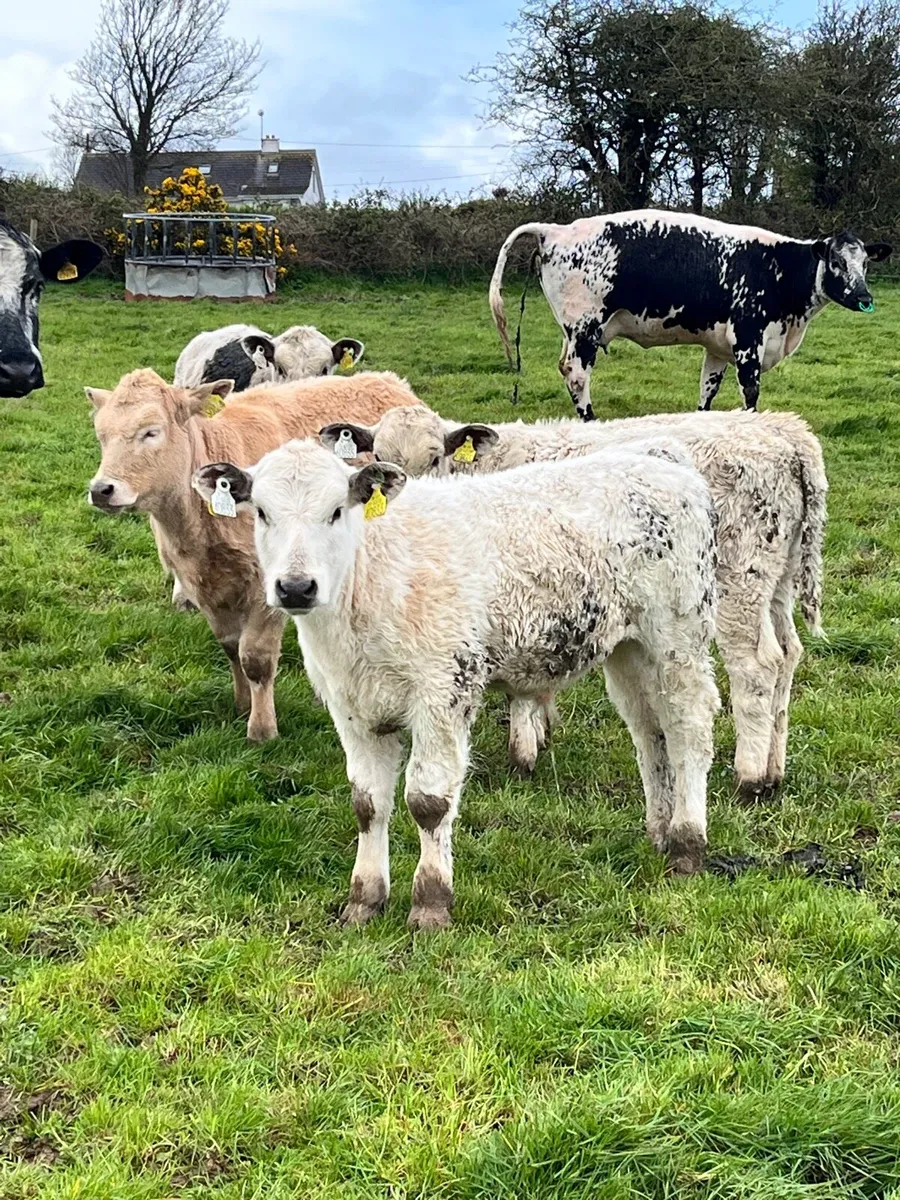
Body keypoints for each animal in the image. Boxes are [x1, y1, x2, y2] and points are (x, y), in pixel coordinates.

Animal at [86, 369, 420, 740]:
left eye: (151, 431)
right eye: (101, 435)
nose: (101, 490)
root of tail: (385, 380)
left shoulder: (267, 587)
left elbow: (255, 658)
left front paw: (262, 728)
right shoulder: (202, 584)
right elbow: (232, 647)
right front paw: (242, 702)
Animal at [194, 439, 720, 928]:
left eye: (337, 511)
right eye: (262, 512)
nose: (296, 587)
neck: (370, 579)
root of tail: (659, 459)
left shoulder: (443, 692)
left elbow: (428, 801)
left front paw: (431, 903)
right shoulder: (352, 706)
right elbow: (367, 803)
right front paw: (363, 900)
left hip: (679, 634)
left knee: (689, 730)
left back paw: (687, 843)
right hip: (628, 649)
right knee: (650, 732)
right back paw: (659, 830)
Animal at [320, 403, 827, 800]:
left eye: (435, 456)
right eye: (380, 456)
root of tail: (783, 429)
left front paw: (524, 747)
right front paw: (540, 729)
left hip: (737, 584)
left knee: (756, 668)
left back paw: (749, 775)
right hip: (778, 582)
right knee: (788, 655)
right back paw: (774, 768)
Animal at [489, 209, 892, 419]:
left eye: (865, 264)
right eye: (837, 262)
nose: (864, 297)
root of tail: (555, 229)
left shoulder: (718, 347)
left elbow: (707, 390)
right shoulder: (749, 339)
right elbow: (751, 392)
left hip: (572, 331)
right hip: (585, 328)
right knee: (576, 375)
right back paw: (590, 420)